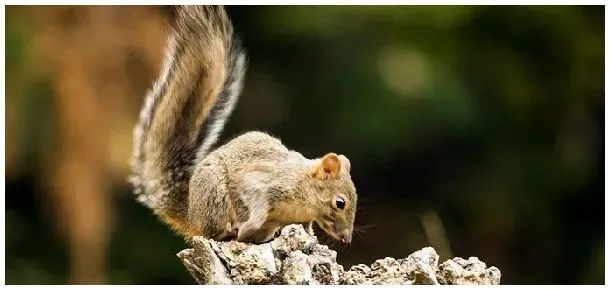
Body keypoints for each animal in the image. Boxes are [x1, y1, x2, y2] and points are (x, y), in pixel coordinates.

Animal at [129, 5, 356, 245]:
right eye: (340, 202)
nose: (347, 239)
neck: (303, 184)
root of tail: (192, 213)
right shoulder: (263, 183)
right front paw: (251, 225)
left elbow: (306, 226)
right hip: (214, 195)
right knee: (213, 231)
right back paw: (231, 230)